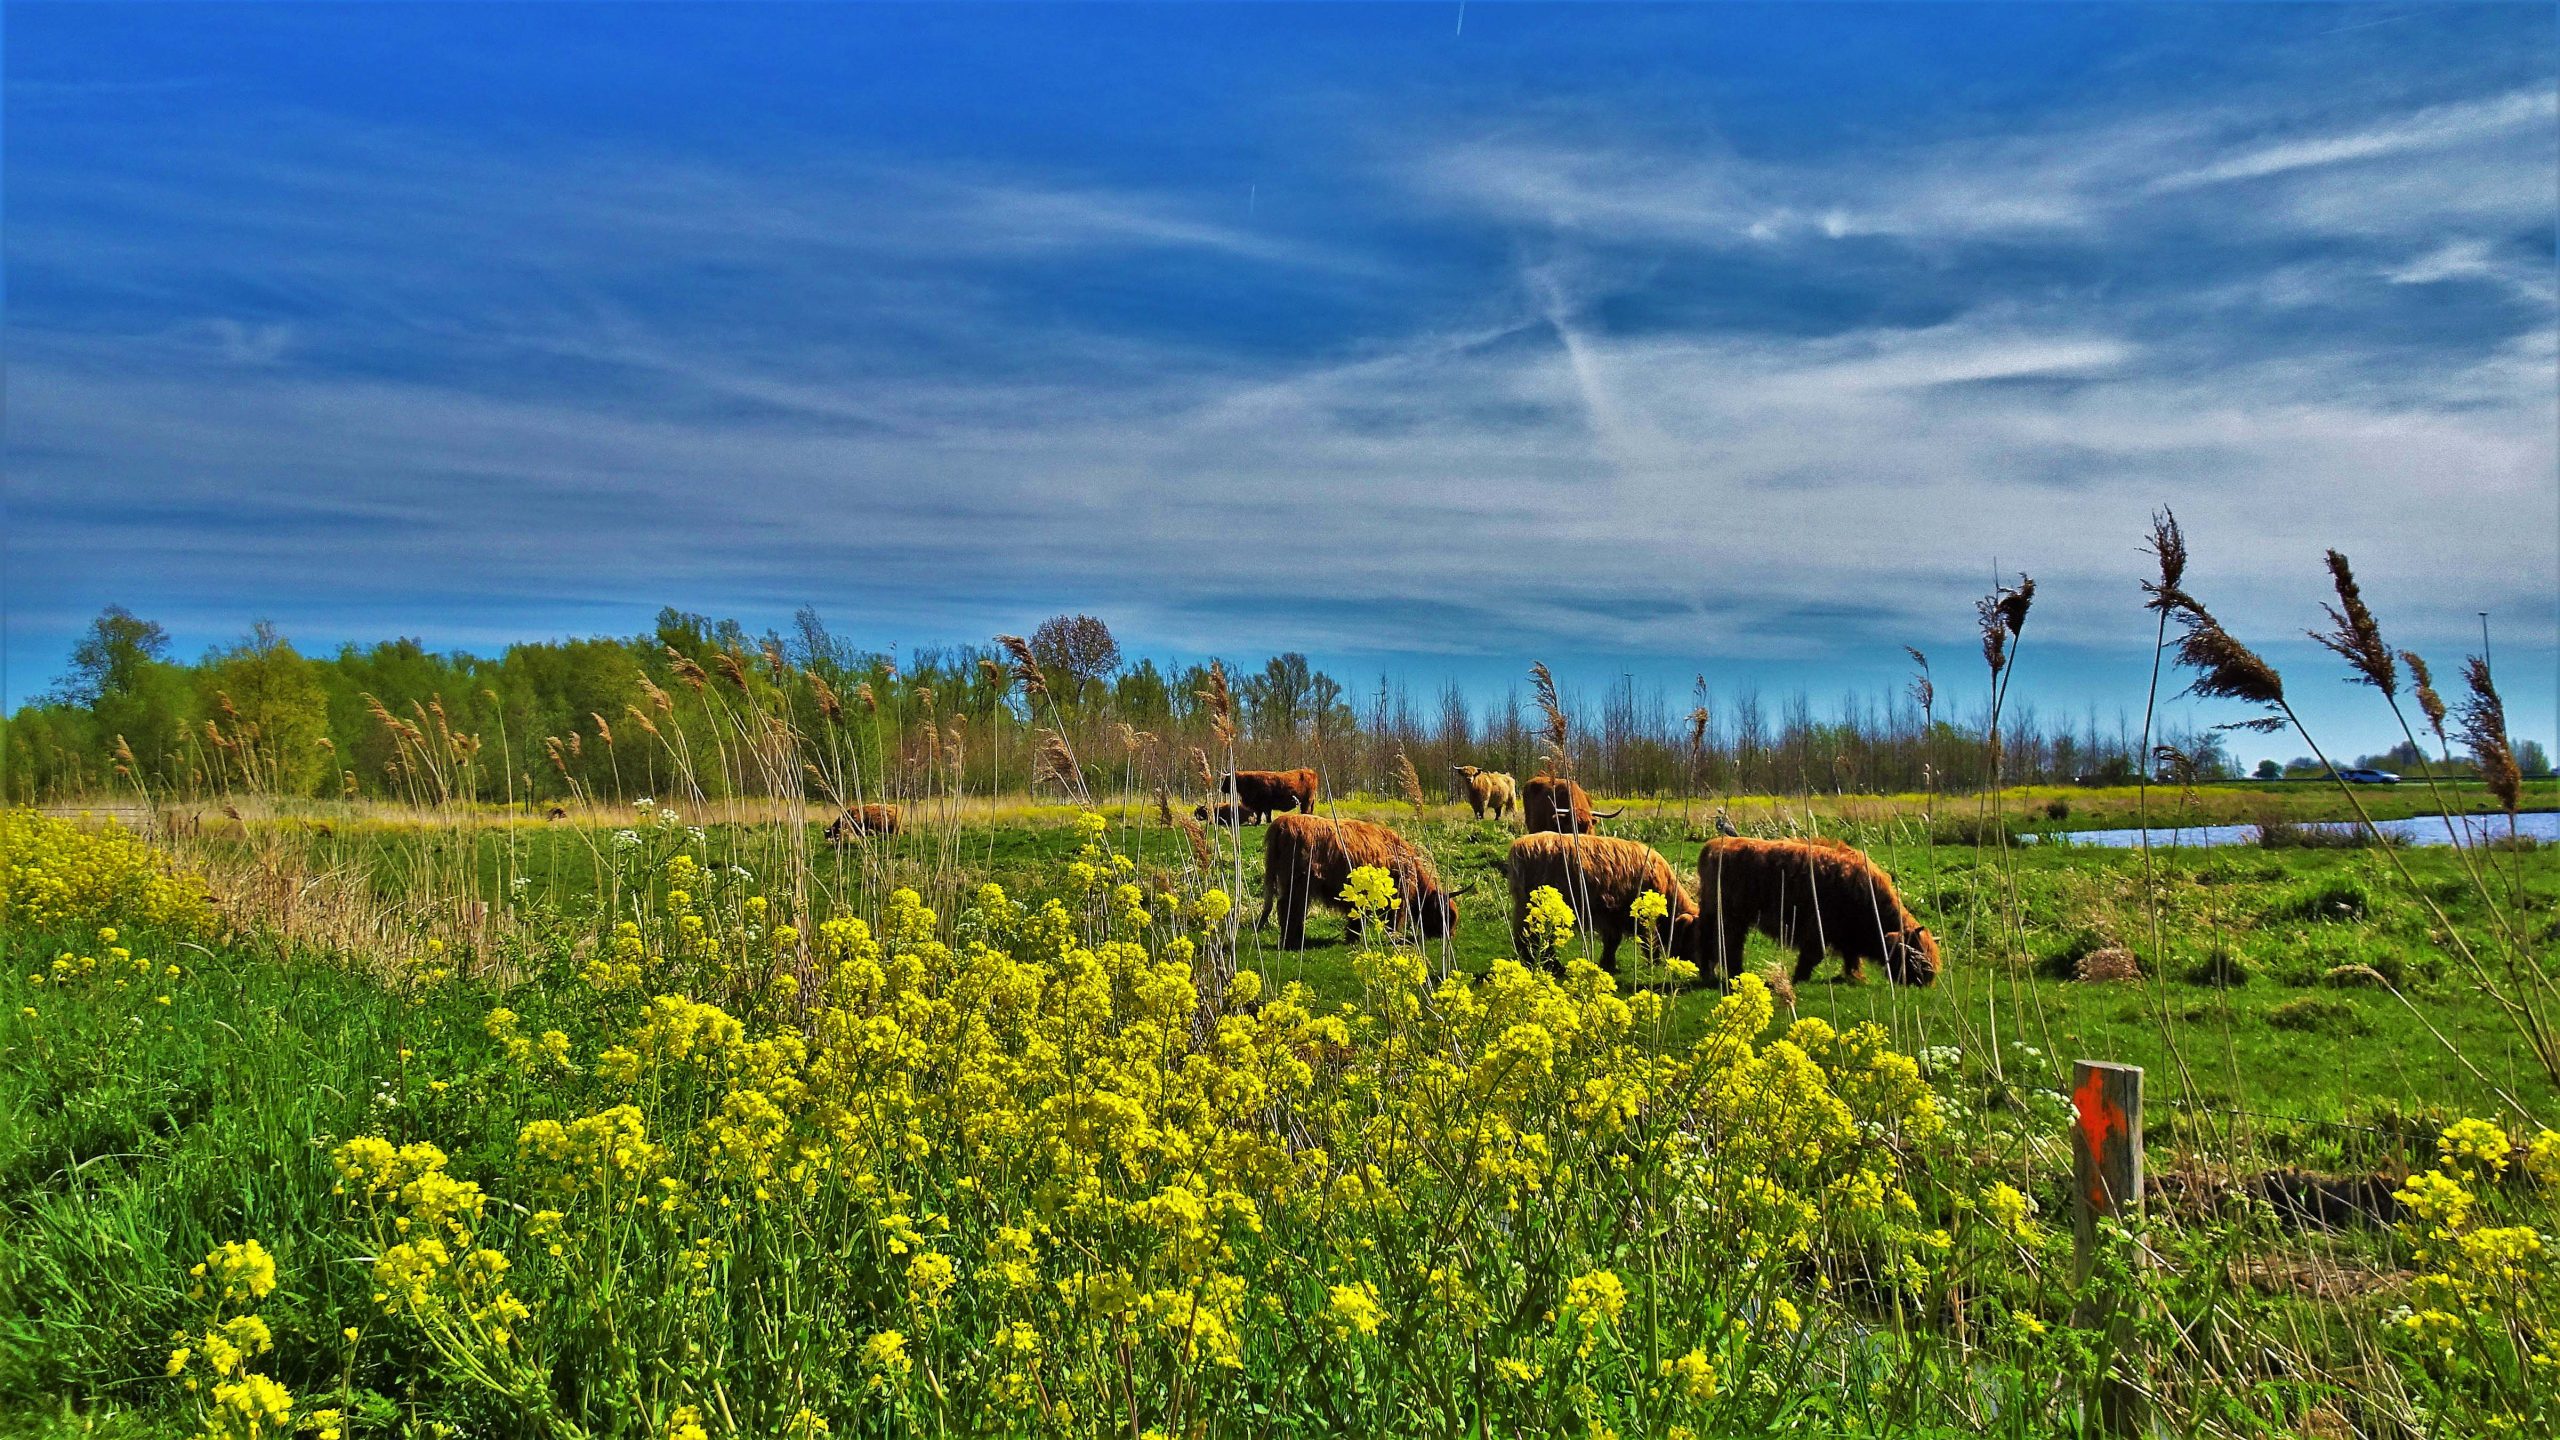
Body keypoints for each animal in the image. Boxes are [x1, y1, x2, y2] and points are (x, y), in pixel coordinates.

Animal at [1259, 814, 1464, 948]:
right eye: (1446, 915)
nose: (1450, 935)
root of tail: (1282, 822)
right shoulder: (1398, 894)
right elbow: (1394, 918)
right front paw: (1394, 938)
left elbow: (1357, 917)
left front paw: (1353, 937)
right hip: (1298, 883)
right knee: (1290, 909)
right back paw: (1292, 941)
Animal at [1495, 825, 1699, 968]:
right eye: (1694, 935)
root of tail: (1520, 845)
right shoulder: (1636, 915)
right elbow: (1649, 939)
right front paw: (1652, 962)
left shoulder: (1611, 914)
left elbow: (1613, 941)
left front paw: (1608, 963)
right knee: (1531, 935)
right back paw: (1546, 964)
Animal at [1699, 835, 1935, 978]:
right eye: (1915, 956)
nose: (1927, 978)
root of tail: (1714, 844)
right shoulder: (1819, 927)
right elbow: (1814, 955)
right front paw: (1799, 977)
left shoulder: (1846, 934)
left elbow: (1851, 956)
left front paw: (1854, 977)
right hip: (1730, 916)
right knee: (1728, 944)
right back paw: (1734, 972)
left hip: (1716, 912)